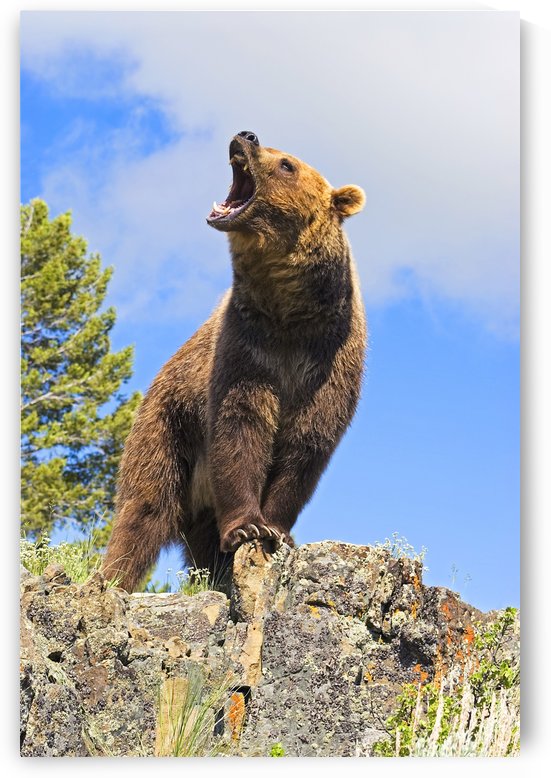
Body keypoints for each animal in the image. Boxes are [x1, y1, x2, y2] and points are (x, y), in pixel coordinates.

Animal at [102, 131, 367, 592]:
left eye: (287, 164)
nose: (245, 137)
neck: (289, 313)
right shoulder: (247, 349)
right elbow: (239, 426)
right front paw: (247, 527)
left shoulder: (328, 358)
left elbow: (308, 442)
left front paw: (277, 529)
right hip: (169, 427)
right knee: (145, 508)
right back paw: (111, 579)